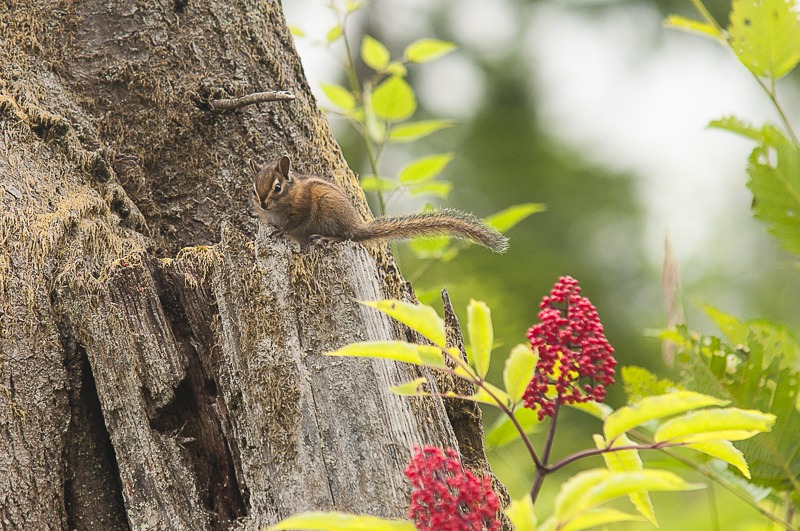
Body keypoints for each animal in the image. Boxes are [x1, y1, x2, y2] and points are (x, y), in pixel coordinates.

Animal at [249, 155, 508, 253]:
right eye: (253, 189)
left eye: (277, 188)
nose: (262, 204)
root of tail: (358, 225)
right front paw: (271, 228)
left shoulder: (302, 208)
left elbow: (294, 223)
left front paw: (281, 230)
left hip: (330, 212)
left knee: (347, 236)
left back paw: (328, 238)